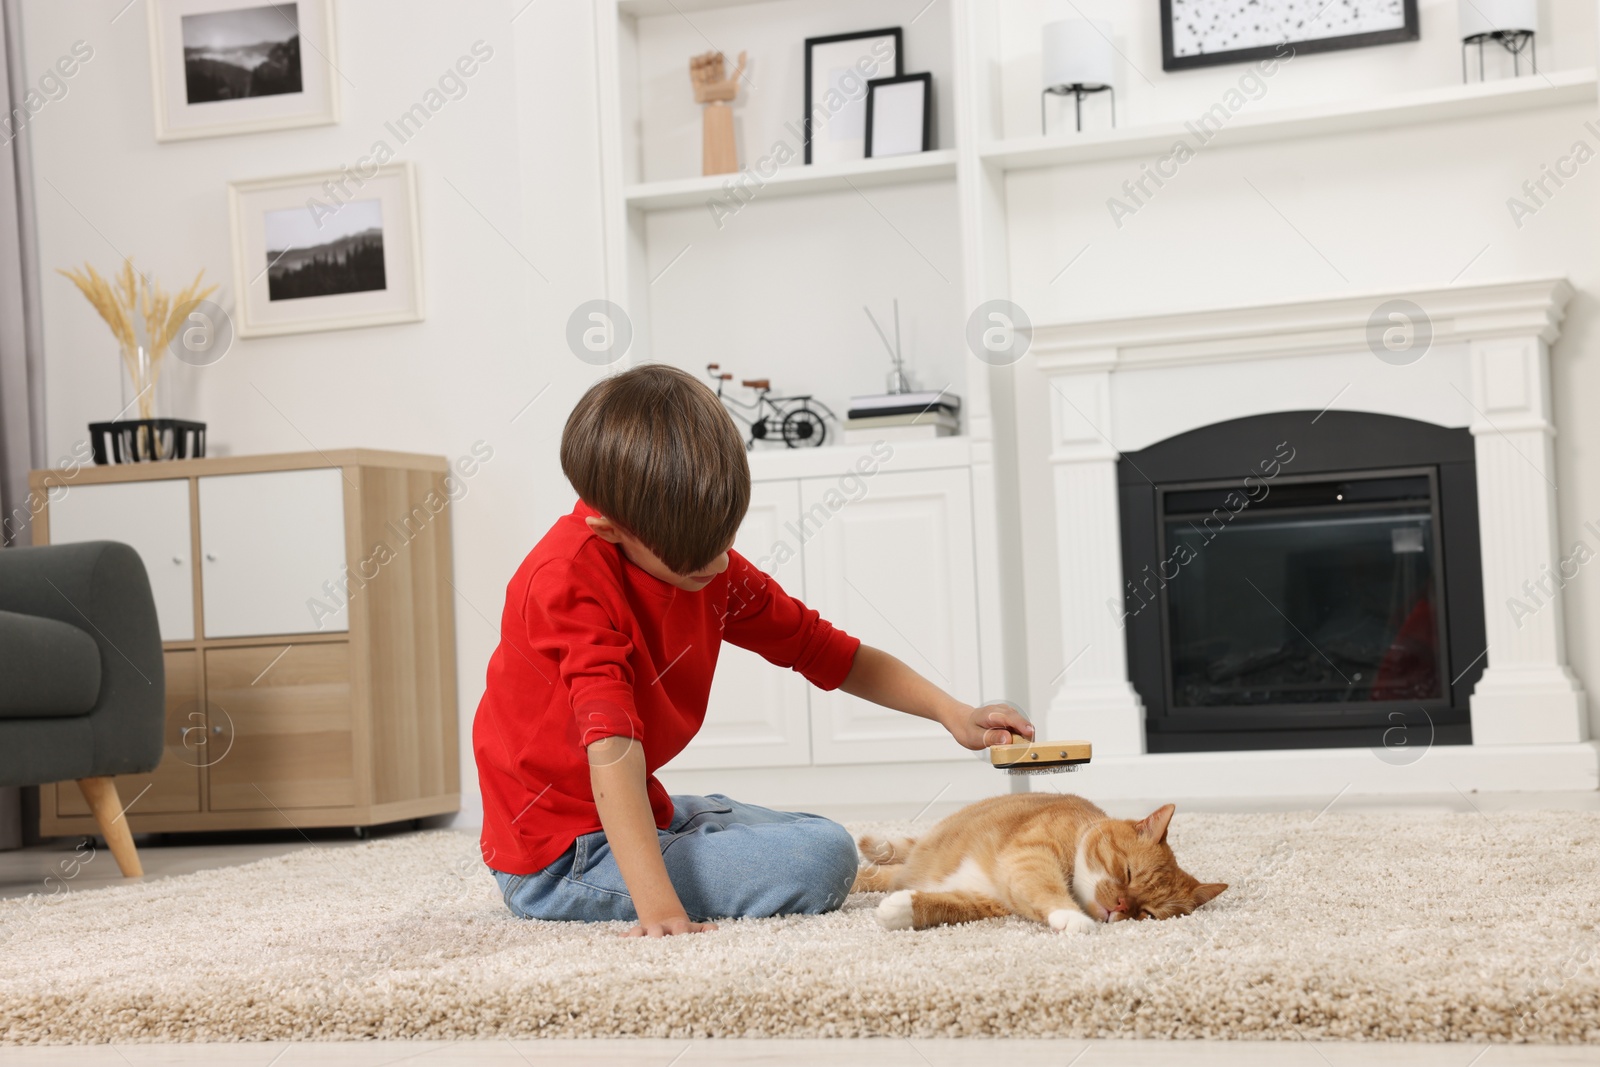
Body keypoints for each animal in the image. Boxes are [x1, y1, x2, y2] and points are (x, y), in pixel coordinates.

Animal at [857, 793, 1216, 934]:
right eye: (1127, 873)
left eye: (1147, 914)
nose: (1120, 906)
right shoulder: (1031, 855)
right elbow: (1045, 886)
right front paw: (1074, 917)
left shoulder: (988, 901)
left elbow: (948, 906)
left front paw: (900, 910)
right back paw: (875, 849)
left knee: (891, 873)